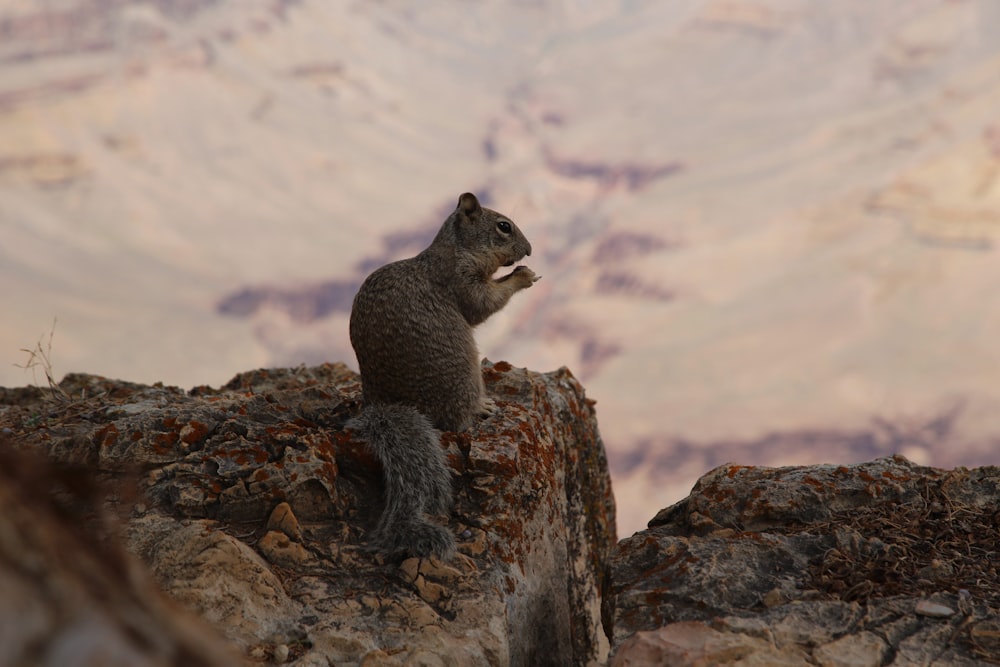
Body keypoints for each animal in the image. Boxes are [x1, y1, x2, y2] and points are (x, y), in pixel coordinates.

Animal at [350, 194, 540, 564]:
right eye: (504, 226)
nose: (529, 250)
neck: (457, 248)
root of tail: (382, 404)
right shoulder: (460, 278)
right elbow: (483, 303)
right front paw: (522, 276)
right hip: (464, 374)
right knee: (457, 422)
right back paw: (482, 407)